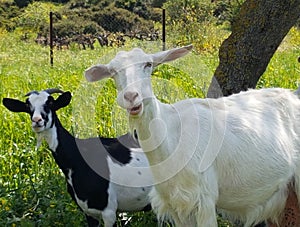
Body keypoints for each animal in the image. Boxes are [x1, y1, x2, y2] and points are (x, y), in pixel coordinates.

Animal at [1, 89, 152, 226]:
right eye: (28, 106)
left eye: (50, 103)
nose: (37, 120)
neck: (77, 159)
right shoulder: (88, 211)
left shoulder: (108, 211)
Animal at [84, 45, 300, 226]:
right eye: (113, 72)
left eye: (148, 64)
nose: (131, 97)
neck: (170, 137)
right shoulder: (175, 204)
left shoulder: (203, 199)